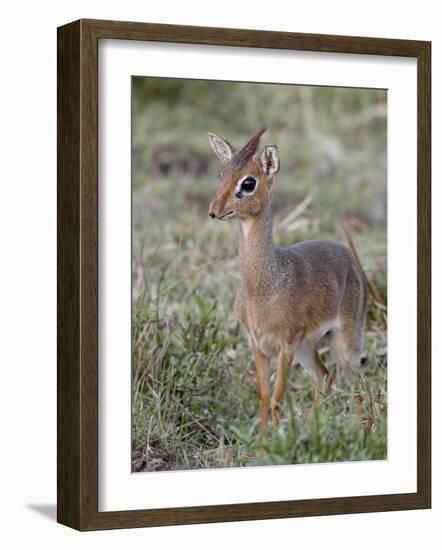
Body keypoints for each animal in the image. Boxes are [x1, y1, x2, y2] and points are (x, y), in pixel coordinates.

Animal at [209, 127, 368, 438]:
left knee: (356, 383)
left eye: (248, 182)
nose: (214, 211)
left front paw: (276, 440)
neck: (263, 289)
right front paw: (262, 441)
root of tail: (348, 256)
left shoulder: (286, 345)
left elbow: (277, 398)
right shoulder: (258, 345)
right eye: (221, 174)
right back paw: (307, 431)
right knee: (325, 377)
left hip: (345, 341)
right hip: (308, 348)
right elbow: (263, 396)